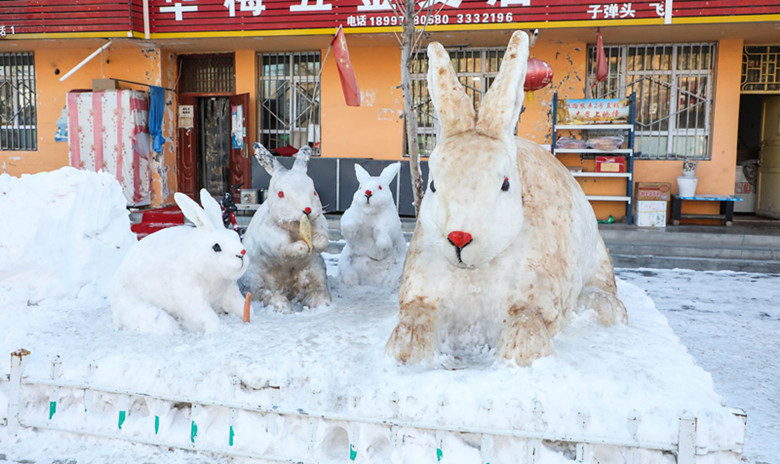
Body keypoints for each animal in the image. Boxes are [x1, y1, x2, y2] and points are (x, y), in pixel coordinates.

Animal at [109, 188, 248, 334]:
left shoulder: (228, 292)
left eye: (235, 236)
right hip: (142, 310)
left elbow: (241, 305)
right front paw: (218, 329)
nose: (242, 253)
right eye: (216, 247)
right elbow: (206, 316)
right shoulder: (190, 295)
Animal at [241, 143, 332, 314]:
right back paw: (282, 307)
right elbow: (282, 246)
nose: (307, 210)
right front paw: (302, 247)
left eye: (314, 192)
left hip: (316, 271)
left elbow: (323, 235)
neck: (296, 226)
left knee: (317, 289)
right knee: (267, 294)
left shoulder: (318, 223)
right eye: (281, 194)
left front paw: (316, 243)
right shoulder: (271, 235)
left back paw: (321, 303)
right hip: (256, 279)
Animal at [386, 30, 628, 368]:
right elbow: (414, 321)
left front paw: (518, 354)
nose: (458, 238)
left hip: (599, 257)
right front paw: (406, 348)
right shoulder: (421, 294)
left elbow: (526, 329)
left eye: (505, 184)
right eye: (433, 185)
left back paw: (606, 308)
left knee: (605, 289)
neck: (474, 271)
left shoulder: (536, 303)